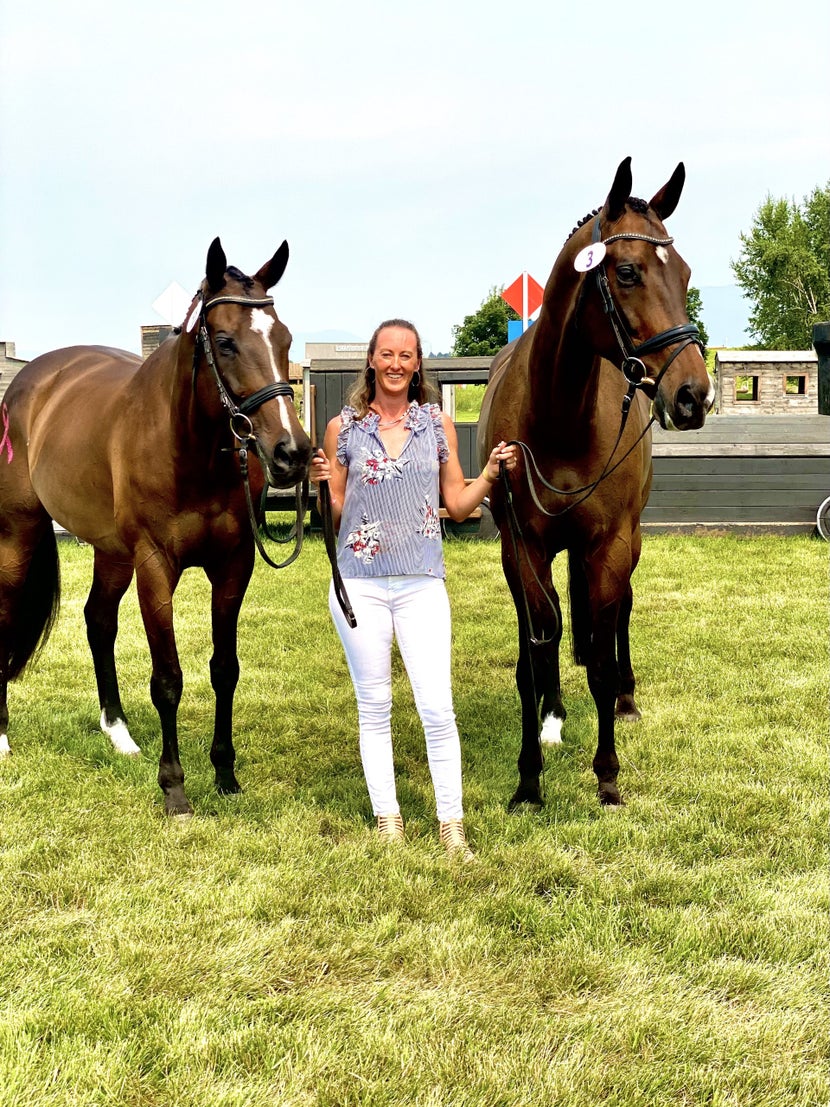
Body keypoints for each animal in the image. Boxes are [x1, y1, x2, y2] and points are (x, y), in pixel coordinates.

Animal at [0, 238, 314, 819]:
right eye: (225, 342)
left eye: (283, 338)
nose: (292, 453)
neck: (186, 449)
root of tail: (30, 382)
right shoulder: (154, 567)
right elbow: (168, 679)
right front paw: (175, 789)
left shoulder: (233, 566)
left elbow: (224, 670)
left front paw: (226, 775)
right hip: (19, 534)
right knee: (9, 615)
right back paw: (4, 737)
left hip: (110, 551)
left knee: (98, 620)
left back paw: (119, 733)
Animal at [480, 156, 717, 810]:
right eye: (628, 271)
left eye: (685, 273)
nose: (695, 394)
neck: (560, 416)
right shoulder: (522, 548)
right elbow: (538, 650)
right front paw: (529, 777)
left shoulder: (610, 544)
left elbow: (605, 656)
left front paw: (608, 774)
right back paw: (554, 713)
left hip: (626, 543)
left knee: (619, 616)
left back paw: (625, 699)